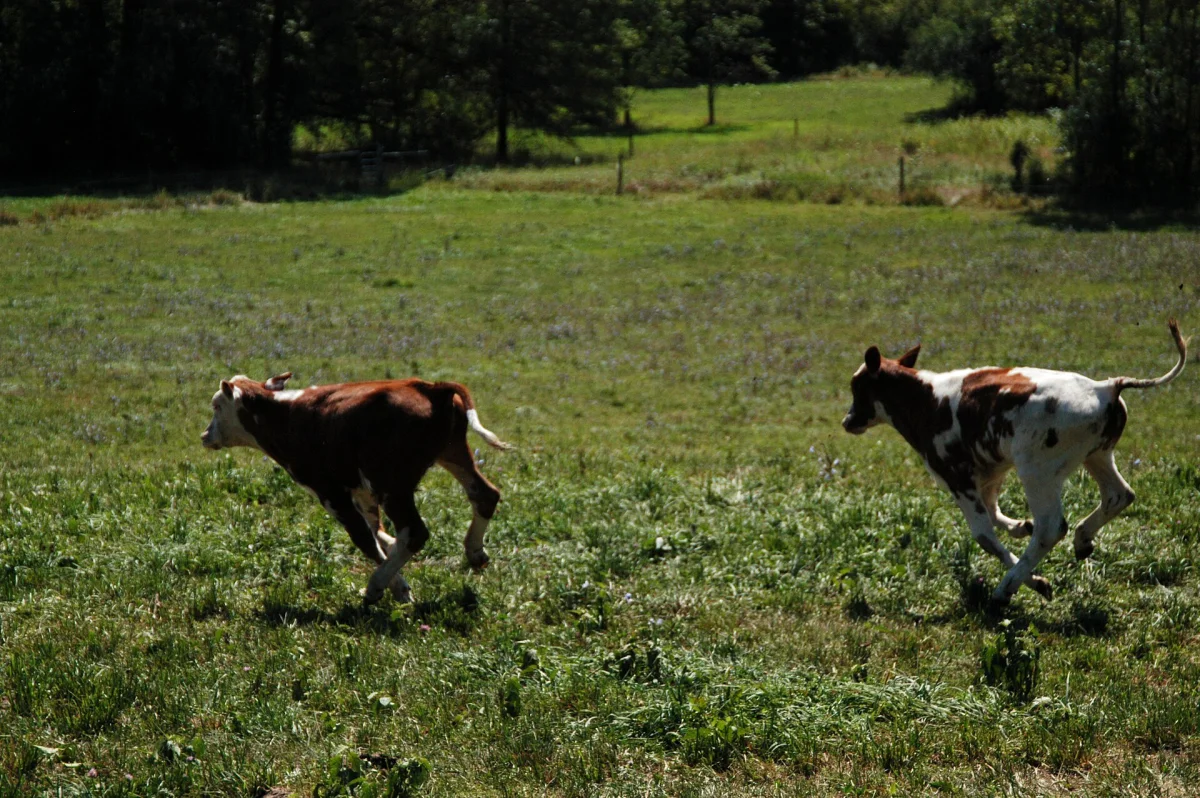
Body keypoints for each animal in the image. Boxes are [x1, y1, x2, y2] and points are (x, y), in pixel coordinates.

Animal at [201, 373, 510, 604]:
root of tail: (431, 388)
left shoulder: (330, 492)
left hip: (393, 485)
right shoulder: (362, 492)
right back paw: (475, 552)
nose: (205, 435)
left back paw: (375, 586)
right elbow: (378, 533)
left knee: (415, 532)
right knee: (484, 495)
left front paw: (396, 588)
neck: (284, 414)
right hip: (453, 454)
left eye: (216, 406)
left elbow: (365, 538)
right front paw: (398, 579)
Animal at [841, 320, 1188, 606]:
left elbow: (985, 536)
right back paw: (1082, 540)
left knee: (1051, 528)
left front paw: (1035, 582)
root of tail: (1105, 387)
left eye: (858, 387)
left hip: (1038, 471)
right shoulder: (989, 472)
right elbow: (996, 515)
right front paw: (1020, 526)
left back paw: (1006, 588)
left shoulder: (958, 477)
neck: (926, 400)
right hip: (1097, 455)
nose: (847, 421)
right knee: (1119, 495)